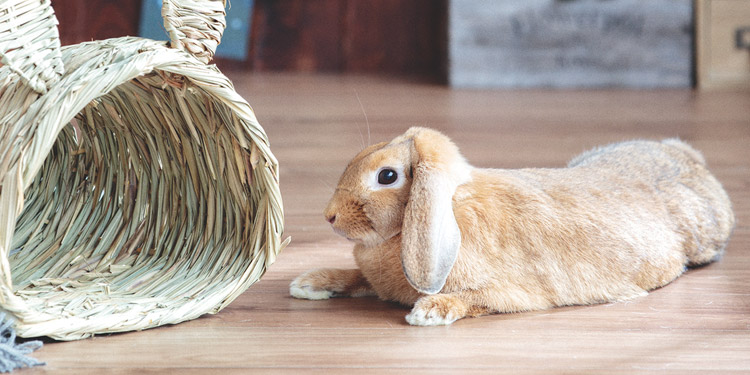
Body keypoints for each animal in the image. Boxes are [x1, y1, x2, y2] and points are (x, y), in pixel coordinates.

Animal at [290, 127, 736, 326]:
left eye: (386, 176)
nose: (329, 215)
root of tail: (690, 158)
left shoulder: (509, 292)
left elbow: (475, 299)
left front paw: (430, 311)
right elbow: (355, 277)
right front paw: (309, 283)